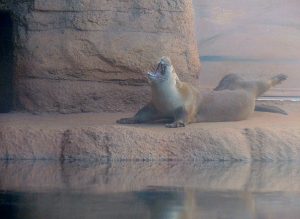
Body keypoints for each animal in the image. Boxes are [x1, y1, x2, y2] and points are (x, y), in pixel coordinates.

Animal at [116, 56, 288, 128]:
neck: (167, 99)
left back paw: (281, 76)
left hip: (252, 85)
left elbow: (184, 115)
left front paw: (176, 123)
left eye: (173, 69)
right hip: (224, 82)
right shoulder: (154, 106)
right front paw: (127, 119)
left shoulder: (186, 105)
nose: (165, 57)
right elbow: (142, 114)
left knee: (264, 82)